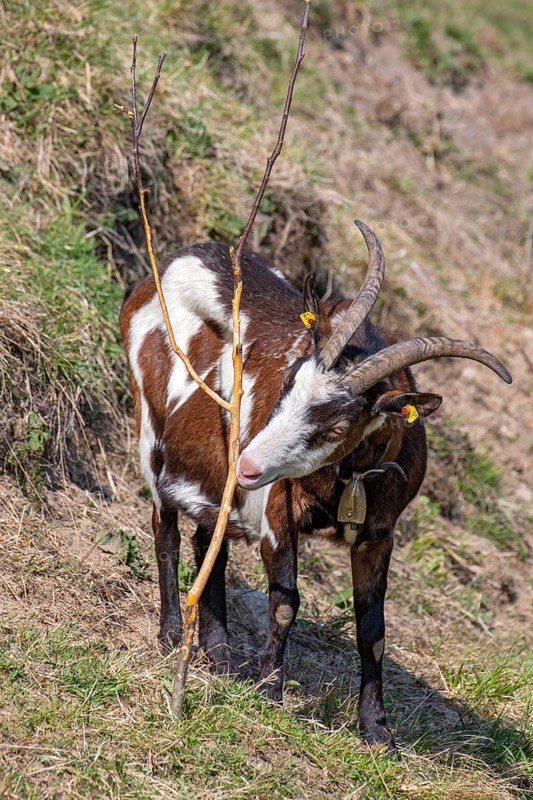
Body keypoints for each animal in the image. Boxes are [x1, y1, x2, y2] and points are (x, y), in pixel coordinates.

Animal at [120, 220, 511, 750]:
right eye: (287, 383)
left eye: (338, 425)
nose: (249, 466)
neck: (350, 477)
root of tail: (178, 259)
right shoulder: (276, 513)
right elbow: (285, 603)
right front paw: (269, 692)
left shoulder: (378, 536)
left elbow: (373, 630)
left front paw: (377, 730)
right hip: (150, 431)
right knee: (166, 530)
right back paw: (169, 637)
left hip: (216, 477)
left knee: (209, 541)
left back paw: (219, 654)